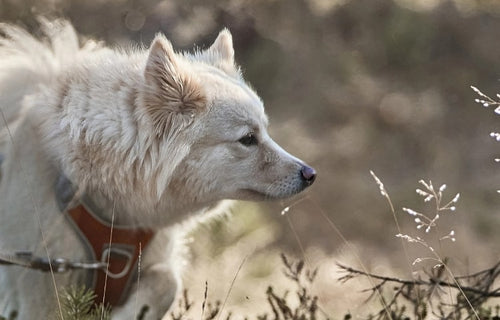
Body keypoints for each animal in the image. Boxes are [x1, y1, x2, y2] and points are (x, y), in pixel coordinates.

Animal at [0, 20, 314, 320]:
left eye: (266, 131)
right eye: (248, 139)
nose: (310, 174)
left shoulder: (150, 258)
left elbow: (168, 282)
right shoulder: (40, 282)